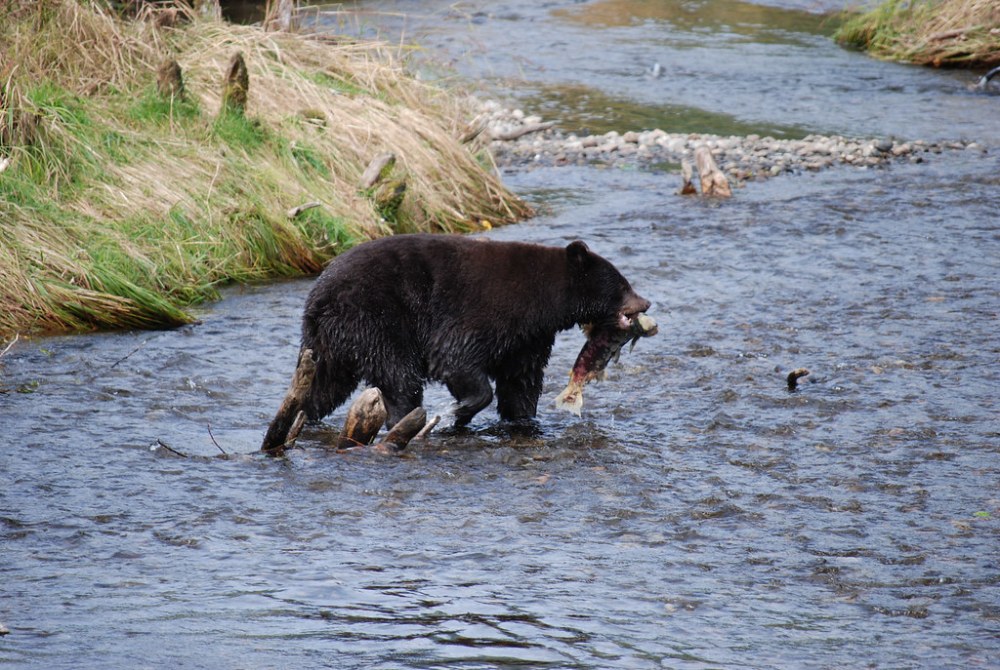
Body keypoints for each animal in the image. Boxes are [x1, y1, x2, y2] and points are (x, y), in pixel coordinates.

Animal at [300, 234, 652, 428]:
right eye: (622, 284)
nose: (646, 302)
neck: (542, 303)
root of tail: (318, 295)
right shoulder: (483, 311)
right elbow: (455, 355)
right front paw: (461, 411)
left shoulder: (527, 340)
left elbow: (521, 381)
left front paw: (522, 418)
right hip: (376, 317)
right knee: (399, 374)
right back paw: (404, 418)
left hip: (331, 342)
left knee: (324, 386)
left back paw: (303, 415)